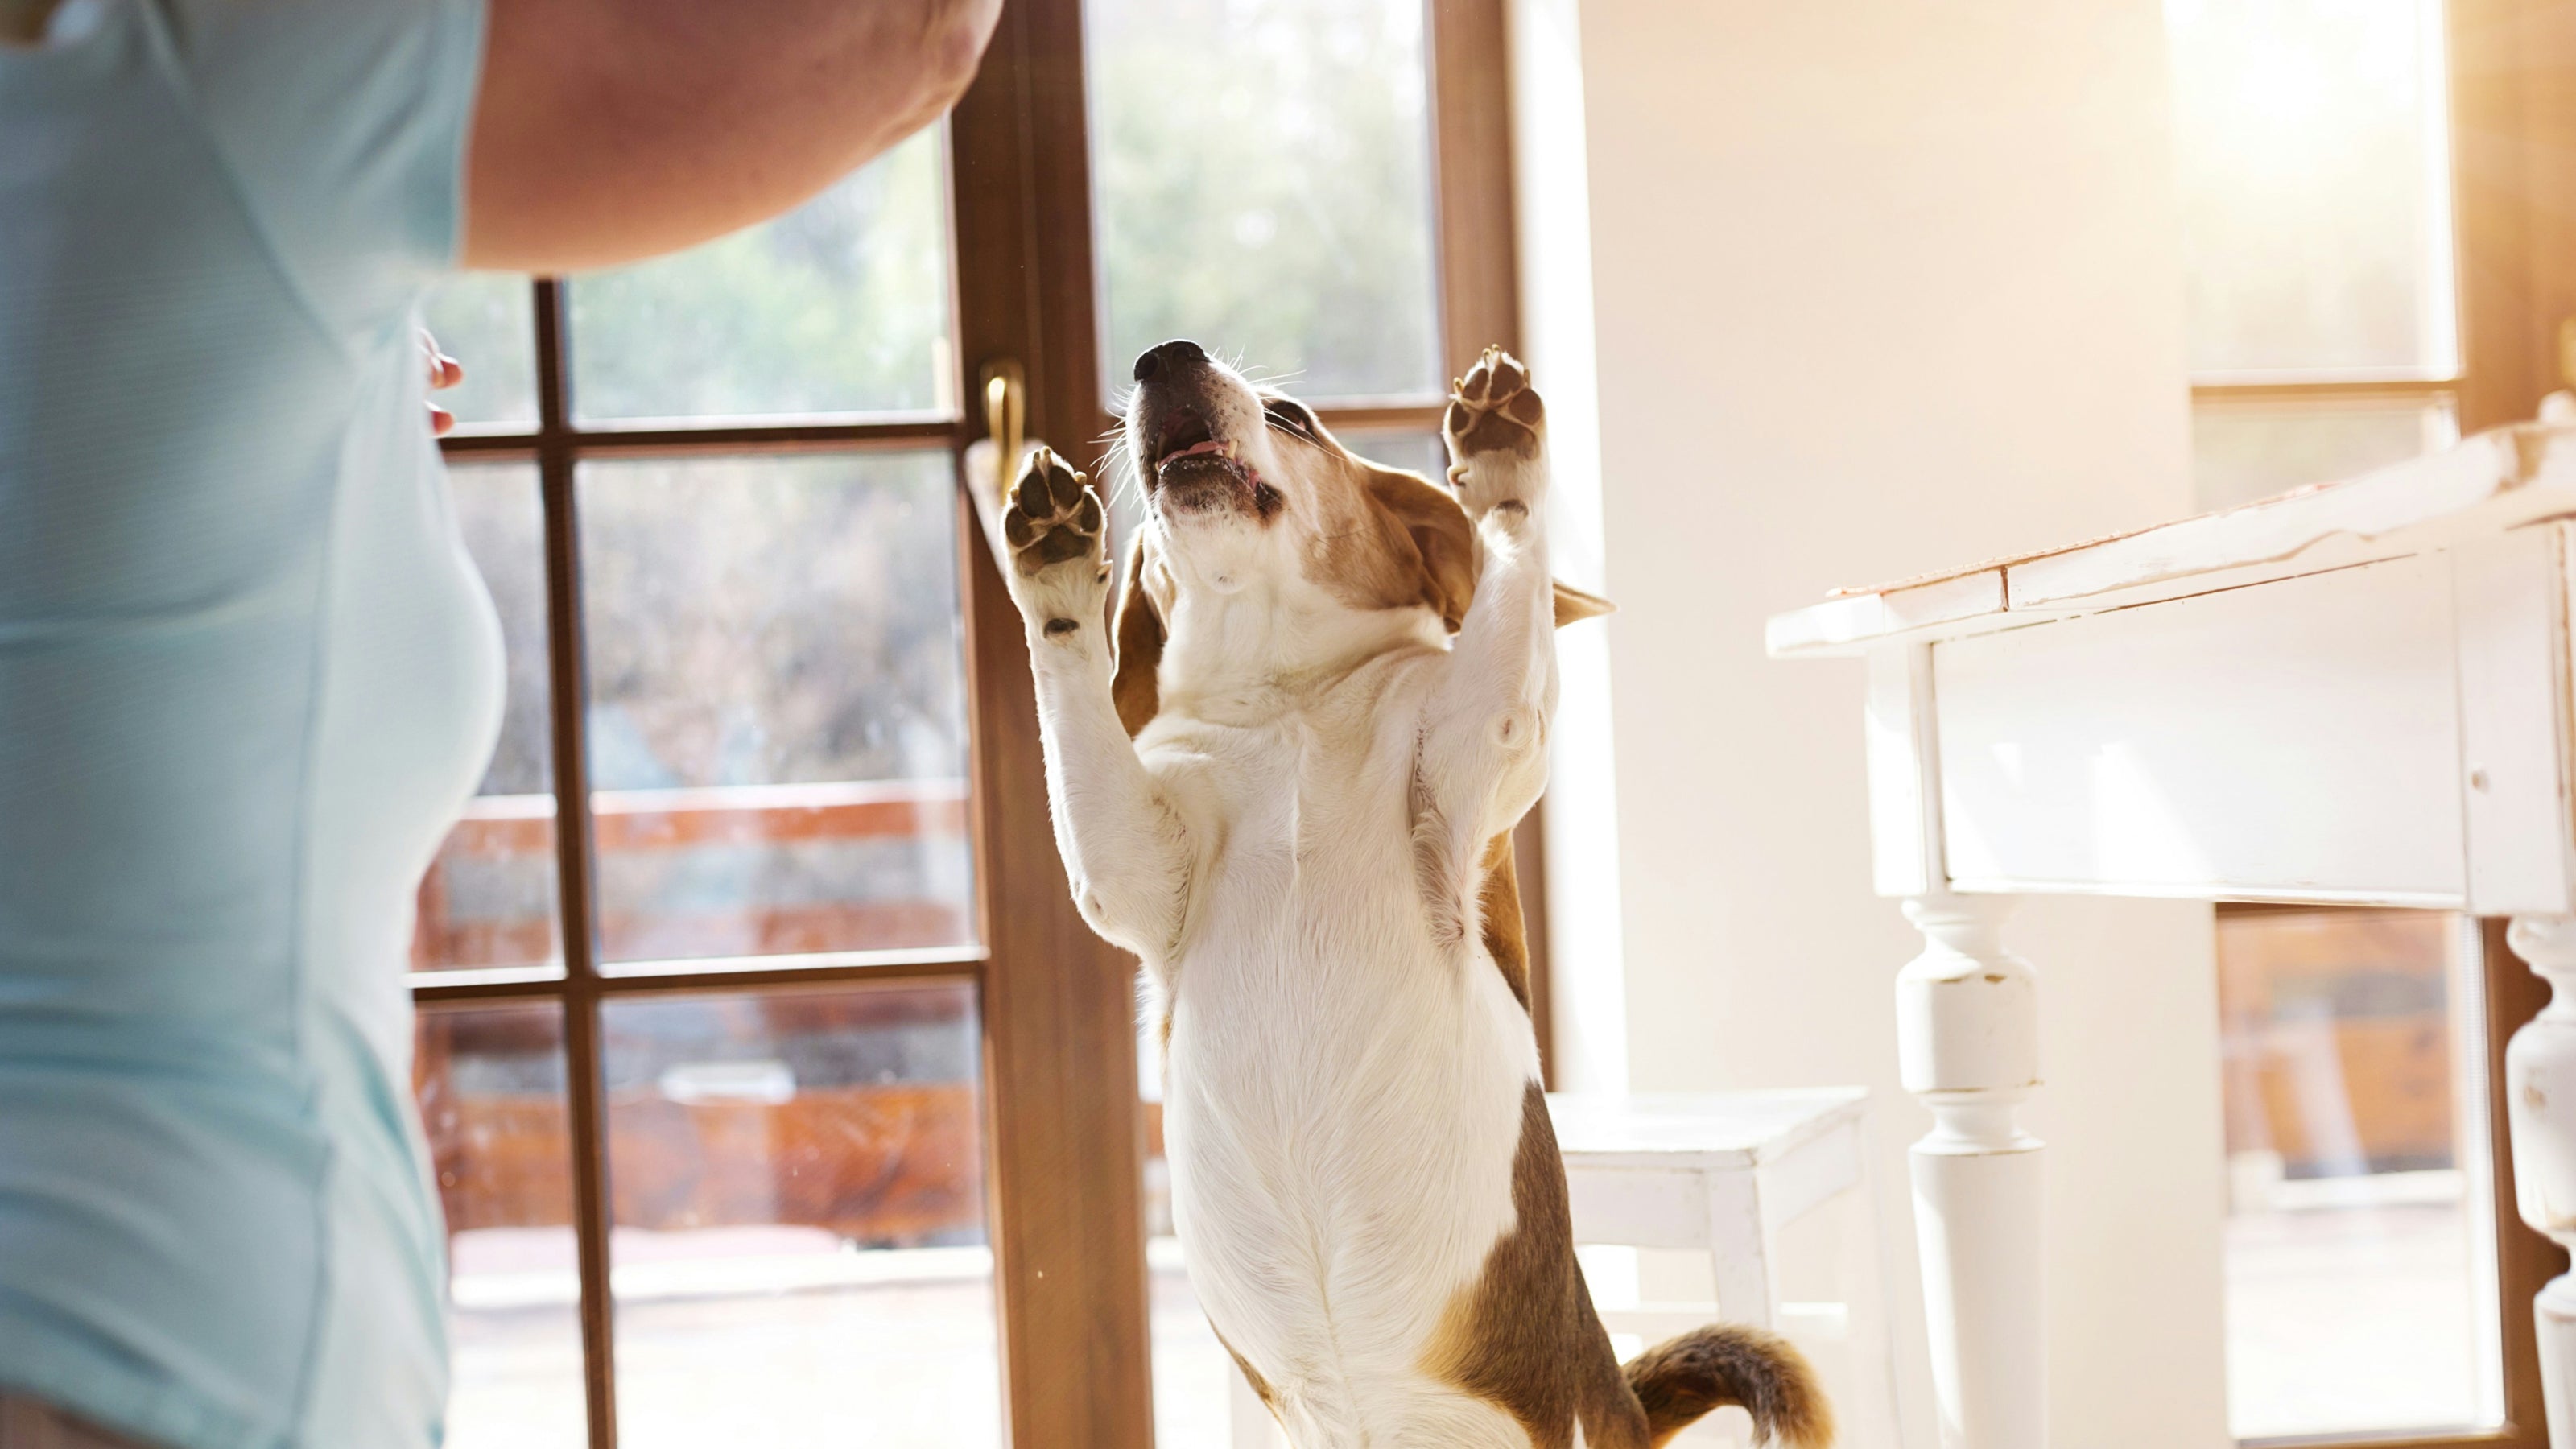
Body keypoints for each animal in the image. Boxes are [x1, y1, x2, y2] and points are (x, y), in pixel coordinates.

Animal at [989, 340, 1834, 1443]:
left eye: (1292, 417)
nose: (1164, 355)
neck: (1290, 701)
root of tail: (1618, 1398)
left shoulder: (1482, 745)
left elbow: (1508, 558)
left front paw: (1502, 452)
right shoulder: (1128, 863)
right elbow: (1068, 668)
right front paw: (1050, 560)